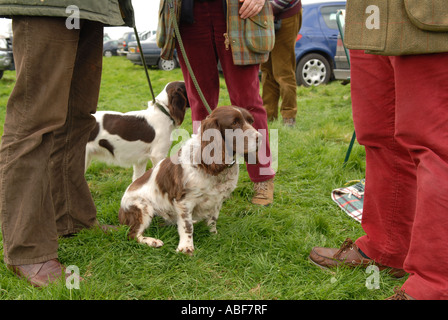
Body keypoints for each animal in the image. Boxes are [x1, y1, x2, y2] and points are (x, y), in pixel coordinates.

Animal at [119, 106, 260, 254]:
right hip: (142, 207)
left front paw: (213, 235)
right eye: (234, 123)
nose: (260, 137)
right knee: (133, 234)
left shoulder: (217, 200)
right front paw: (186, 247)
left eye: (251, 121)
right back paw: (152, 241)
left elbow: (213, 219)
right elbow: (187, 226)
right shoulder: (184, 201)